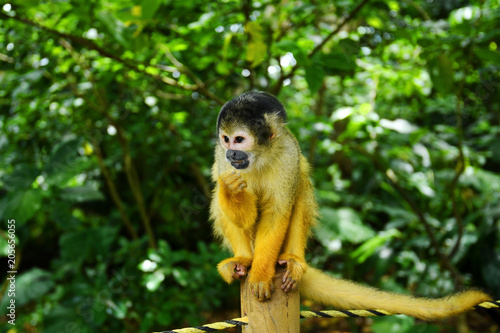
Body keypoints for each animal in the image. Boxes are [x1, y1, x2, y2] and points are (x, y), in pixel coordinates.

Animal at [209, 91, 490, 320]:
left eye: (239, 139)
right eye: (226, 139)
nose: (231, 153)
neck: (260, 155)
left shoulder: (289, 151)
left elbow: (277, 213)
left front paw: (260, 276)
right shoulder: (221, 160)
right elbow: (242, 212)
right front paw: (230, 190)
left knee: (301, 184)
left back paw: (292, 260)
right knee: (218, 200)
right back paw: (244, 258)